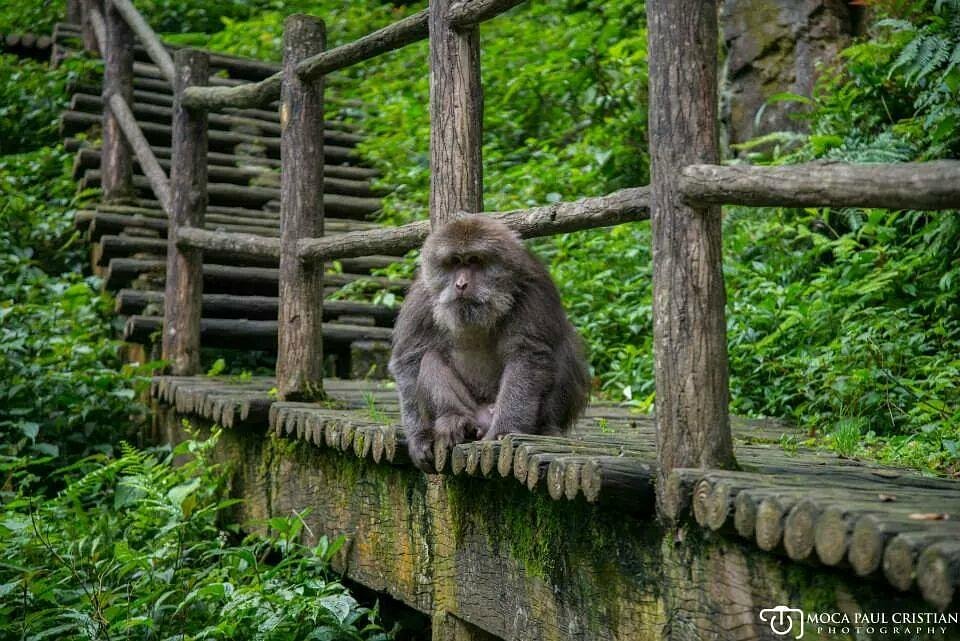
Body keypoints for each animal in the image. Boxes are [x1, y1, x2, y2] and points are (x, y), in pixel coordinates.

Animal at [386, 215, 588, 470]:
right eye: (454, 262)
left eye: (474, 261)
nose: (460, 285)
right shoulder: (421, 294)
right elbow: (409, 357)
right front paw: (420, 437)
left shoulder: (533, 287)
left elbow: (528, 353)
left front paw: (505, 429)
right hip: (473, 410)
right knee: (429, 358)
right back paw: (454, 420)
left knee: (562, 351)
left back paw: (545, 429)